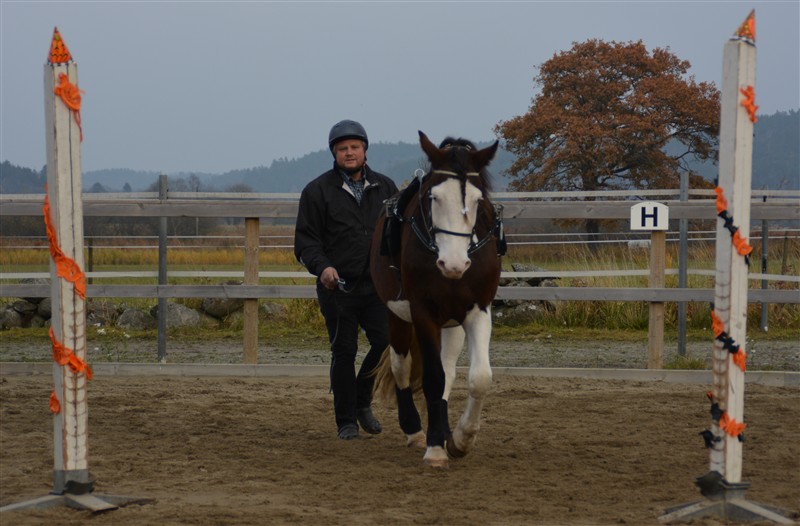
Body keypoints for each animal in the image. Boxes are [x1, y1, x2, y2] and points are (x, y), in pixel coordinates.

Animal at [368, 132, 500, 470]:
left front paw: (460, 439)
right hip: (398, 317)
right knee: (402, 367)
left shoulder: (478, 310)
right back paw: (415, 430)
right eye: (434, 197)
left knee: (449, 371)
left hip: (451, 323)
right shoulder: (423, 313)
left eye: (478, 201)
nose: (453, 264)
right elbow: (432, 377)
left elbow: (479, 378)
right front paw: (436, 448)